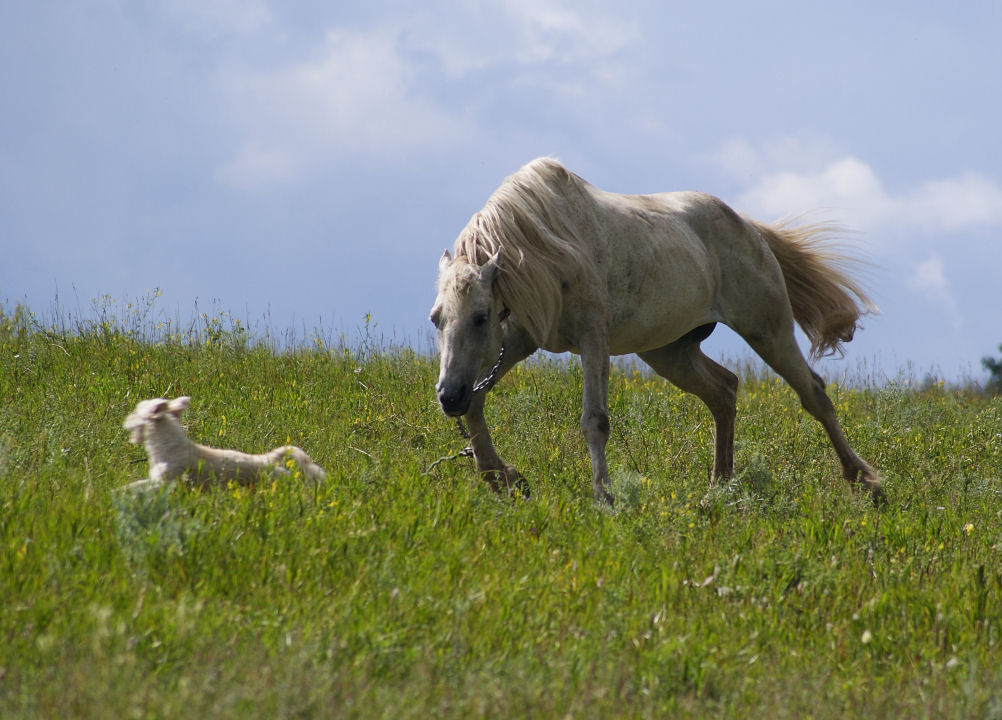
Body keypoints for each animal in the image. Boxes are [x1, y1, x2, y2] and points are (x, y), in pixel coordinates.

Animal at [426, 158, 881, 506]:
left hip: (768, 330)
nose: (447, 396)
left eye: (480, 316)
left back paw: (867, 484)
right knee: (724, 391)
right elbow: (477, 404)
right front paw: (504, 478)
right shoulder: (519, 341)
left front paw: (605, 499)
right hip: (670, 352)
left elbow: (594, 421)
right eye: (436, 318)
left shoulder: (593, 339)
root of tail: (749, 228)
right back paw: (718, 489)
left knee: (814, 394)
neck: (541, 250)